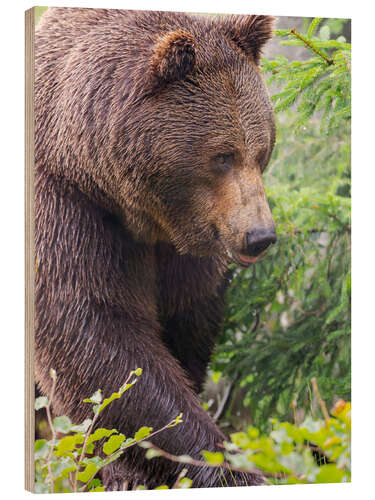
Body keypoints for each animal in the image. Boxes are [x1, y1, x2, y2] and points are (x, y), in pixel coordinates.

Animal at [34, 7, 276, 490]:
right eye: (222, 156)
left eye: (261, 150)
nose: (260, 235)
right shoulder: (67, 205)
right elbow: (95, 332)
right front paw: (223, 465)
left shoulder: (188, 245)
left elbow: (186, 319)